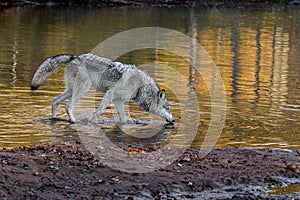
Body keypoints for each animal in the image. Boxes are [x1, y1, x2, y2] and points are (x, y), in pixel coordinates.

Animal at [30, 54, 175, 124]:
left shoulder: (118, 100)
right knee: (68, 105)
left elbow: (123, 118)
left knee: (55, 101)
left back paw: (54, 119)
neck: (141, 87)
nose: (174, 120)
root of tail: (74, 57)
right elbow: (98, 111)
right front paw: (92, 121)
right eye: (167, 108)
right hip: (83, 89)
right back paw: (74, 121)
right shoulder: (110, 95)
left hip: (72, 90)